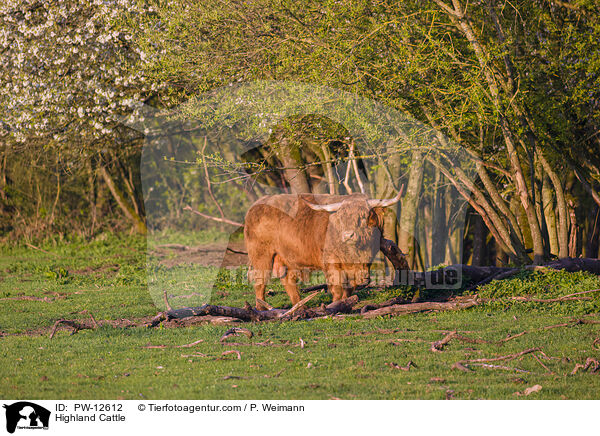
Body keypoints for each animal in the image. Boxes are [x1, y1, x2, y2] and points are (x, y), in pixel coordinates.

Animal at [244, 192, 404, 310]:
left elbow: (350, 287)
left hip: (285, 257)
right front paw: (335, 304)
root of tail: (257, 204)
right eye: (342, 218)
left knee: (288, 280)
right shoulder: (331, 261)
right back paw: (261, 308)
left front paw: (346, 302)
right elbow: (337, 287)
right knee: (260, 282)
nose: (348, 235)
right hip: (261, 254)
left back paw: (300, 307)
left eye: (363, 217)